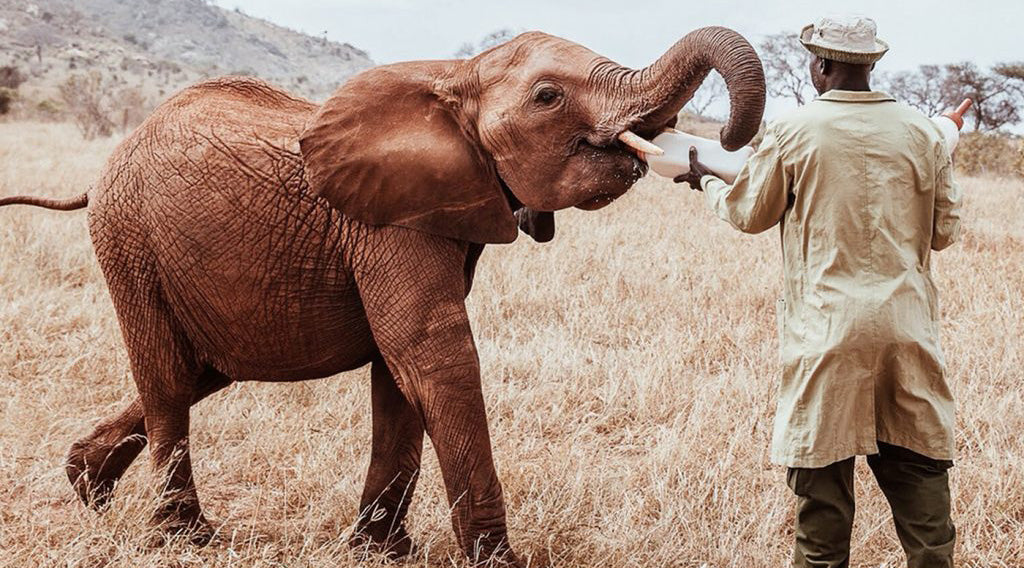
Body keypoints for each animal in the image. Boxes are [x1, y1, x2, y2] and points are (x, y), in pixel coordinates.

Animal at [0, 25, 765, 564]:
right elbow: (433, 355)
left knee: (200, 370)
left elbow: (400, 373)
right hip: (129, 241)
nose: (706, 147)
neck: (455, 77)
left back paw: (87, 487)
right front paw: (495, 561)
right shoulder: (387, 224)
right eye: (548, 97)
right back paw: (186, 540)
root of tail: (104, 168)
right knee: (166, 376)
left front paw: (379, 553)